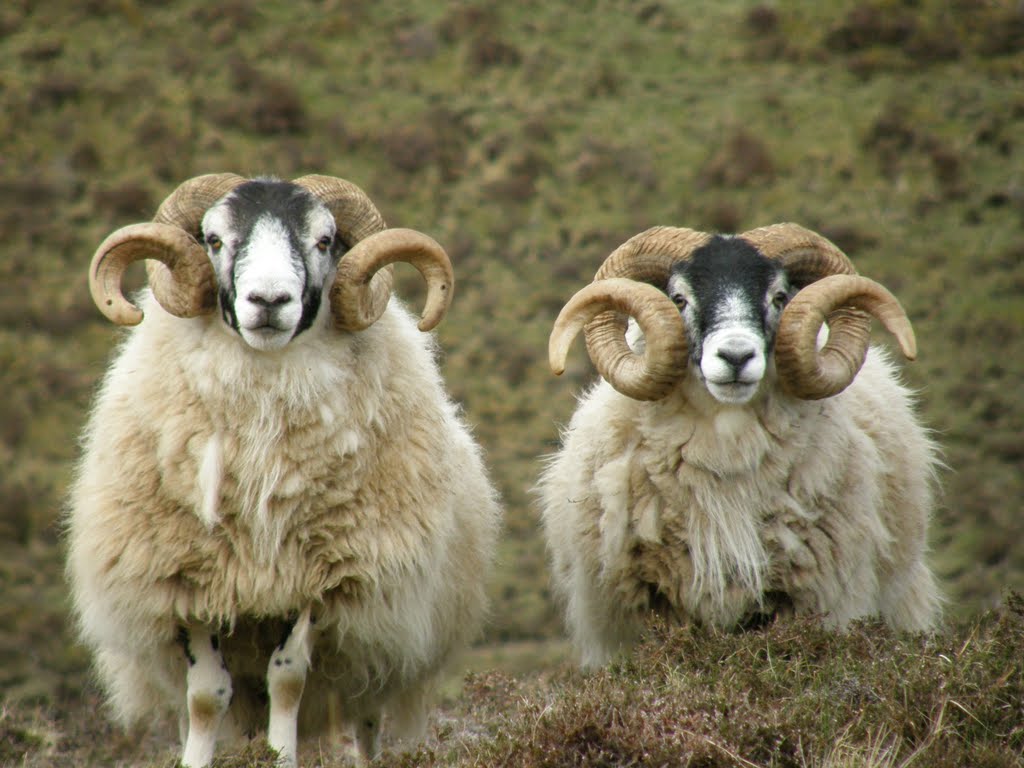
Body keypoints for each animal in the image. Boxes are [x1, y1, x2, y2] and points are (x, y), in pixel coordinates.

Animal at [61, 176, 501, 768]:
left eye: (324, 240)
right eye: (214, 239)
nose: (268, 301)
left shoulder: (317, 578)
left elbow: (287, 682)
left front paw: (281, 755)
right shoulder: (188, 581)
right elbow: (205, 697)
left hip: (373, 649)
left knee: (363, 716)